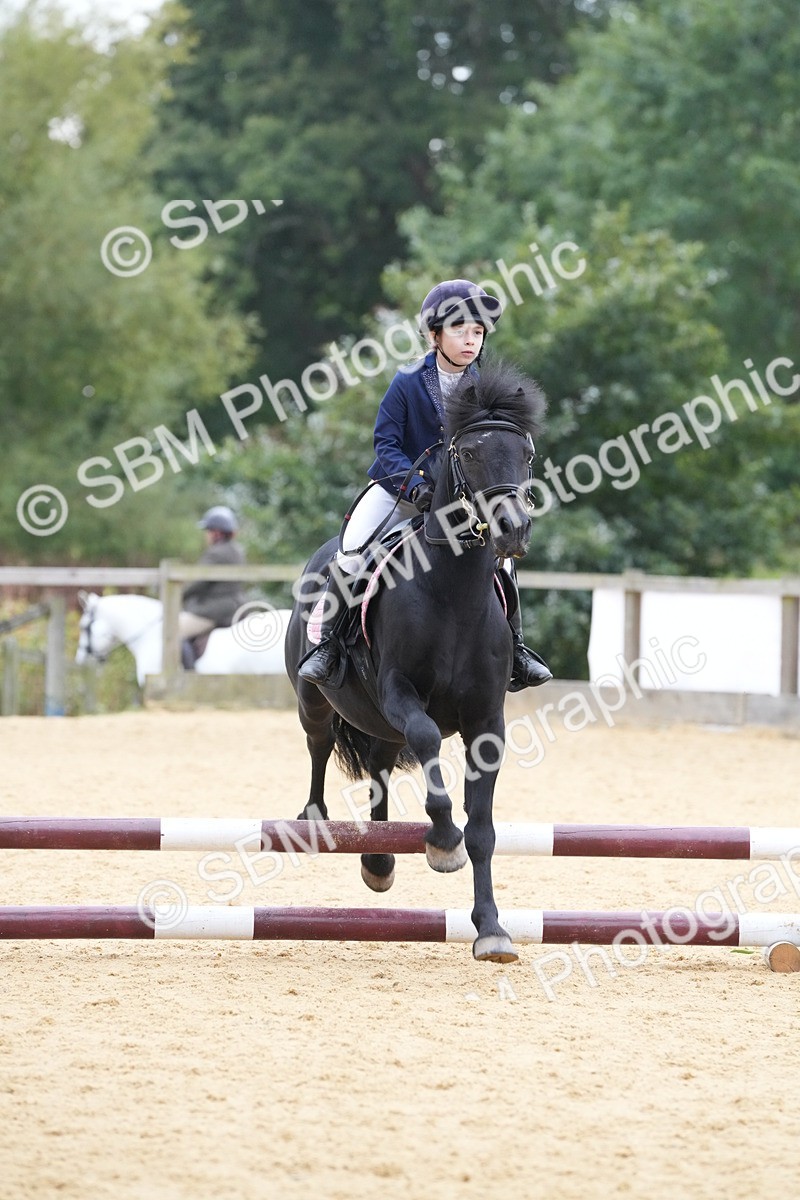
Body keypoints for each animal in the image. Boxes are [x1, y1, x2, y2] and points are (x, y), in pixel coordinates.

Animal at [285, 360, 546, 962]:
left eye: (525, 453)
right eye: (468, 453)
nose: (512, 530)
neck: (452, 592)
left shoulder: (485, 722)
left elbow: (483, 830)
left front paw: (491, 929)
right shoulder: (400, 691)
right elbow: (428, 739)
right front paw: (443, 843)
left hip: (380, 724)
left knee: (380, 767)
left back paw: (379, 863)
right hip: (317, 701)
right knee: (319, 744)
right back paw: (314, 821)